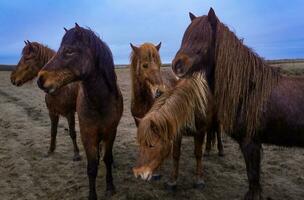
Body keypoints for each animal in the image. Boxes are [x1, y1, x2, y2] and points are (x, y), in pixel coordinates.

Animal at [36, 24, 123, 199]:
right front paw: (92, 195)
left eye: (69, 51)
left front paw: (110, 186)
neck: (100, 103)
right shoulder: (87, 134)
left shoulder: (111, 132)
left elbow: (107, 158)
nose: (40, 79)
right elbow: (92, 167)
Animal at [172, 7, 304, 198]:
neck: (248, 89)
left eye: (200, 38)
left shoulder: (251, 143)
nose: (177, 65)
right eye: (185, 37)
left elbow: (253, 180)